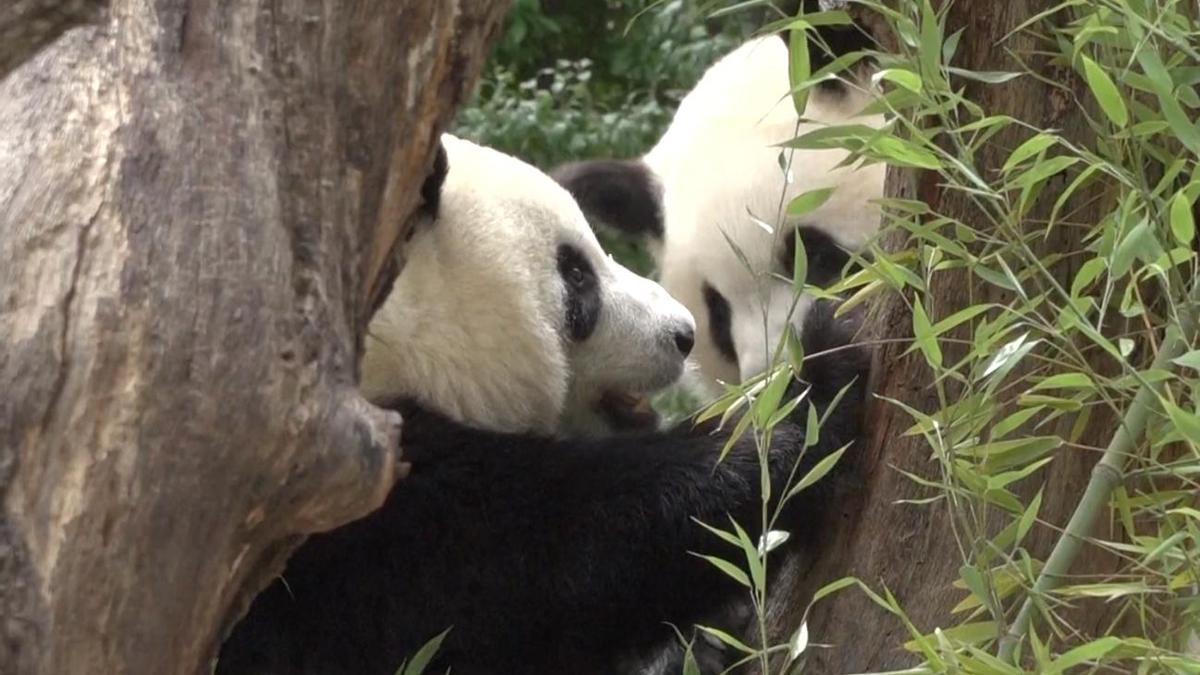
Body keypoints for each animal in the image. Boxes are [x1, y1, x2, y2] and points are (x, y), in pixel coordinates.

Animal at [216, 132, 868, 672]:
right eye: (575, 275)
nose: (682, 333)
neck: (396, 344)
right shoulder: (337, 526)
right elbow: (555, 556)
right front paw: (811, 386)